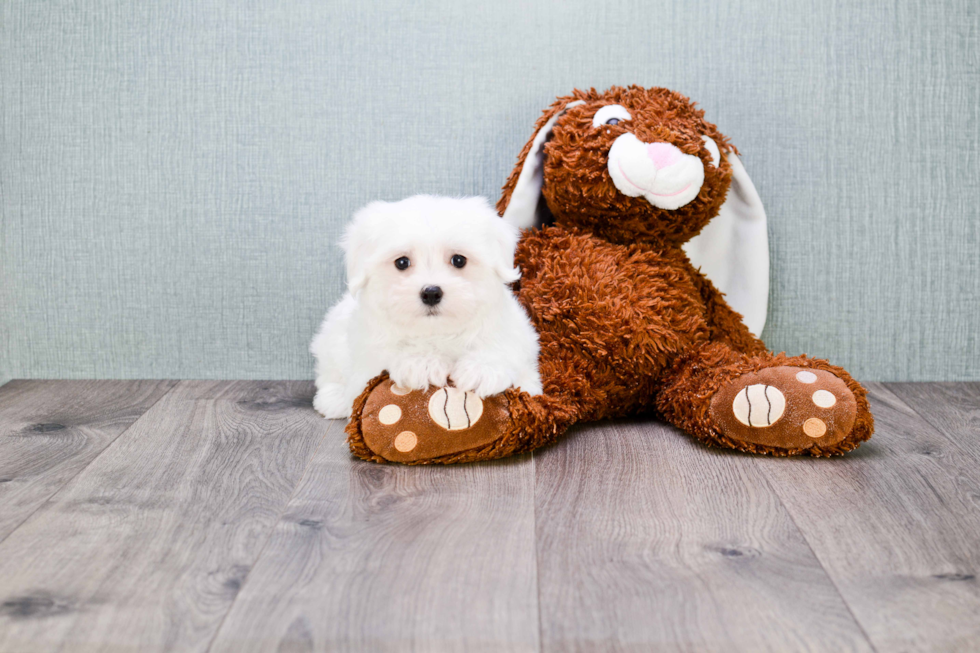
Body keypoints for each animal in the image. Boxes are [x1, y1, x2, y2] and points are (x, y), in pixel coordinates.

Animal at [310, 194, 544, 418]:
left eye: (459, 260)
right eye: (402, 262)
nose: (431, 293)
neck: (437, 332)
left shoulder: (518, 337)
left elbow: (508, 353)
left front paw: (483, 367)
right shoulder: (367, 355)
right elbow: (390, 352)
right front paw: (422, 361)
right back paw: (334, 399)